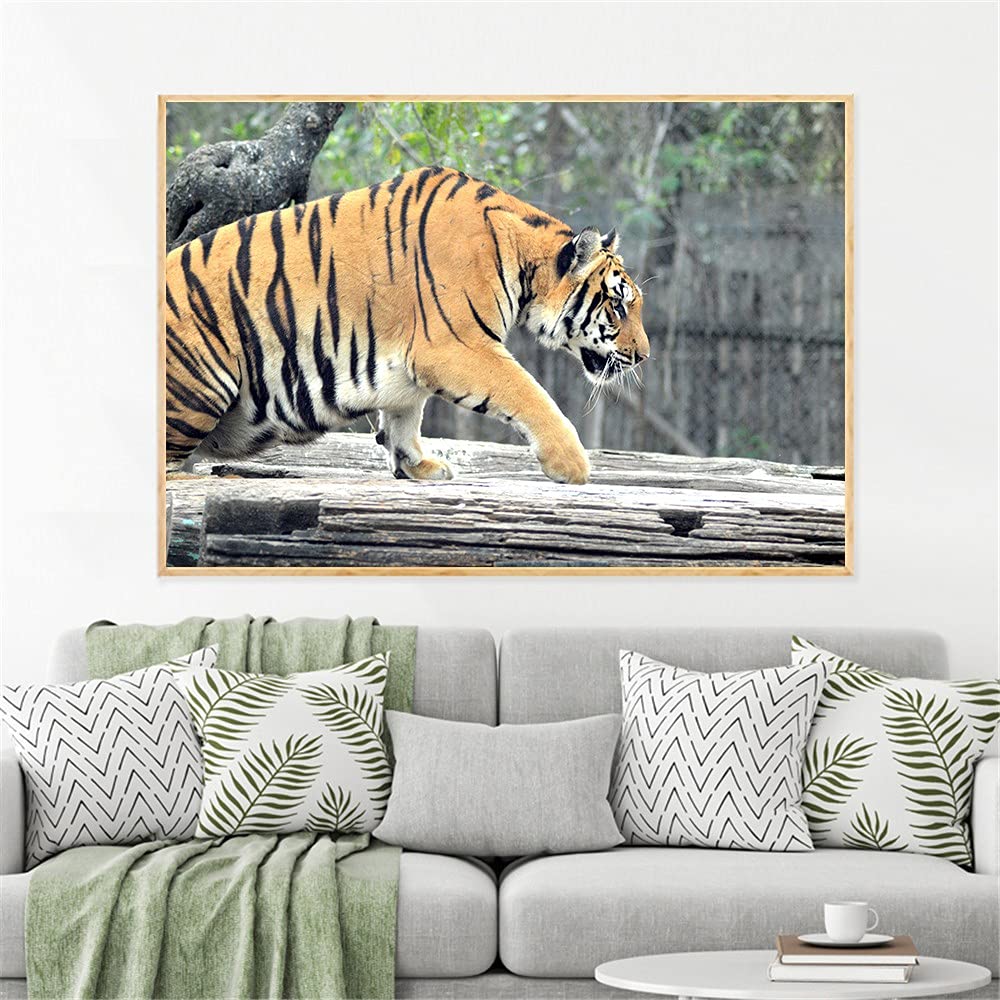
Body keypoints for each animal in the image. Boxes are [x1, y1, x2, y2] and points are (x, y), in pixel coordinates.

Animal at [164, 165, 649, 485]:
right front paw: (571, 464)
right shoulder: (456, 345)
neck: (521, 258)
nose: (644, 355)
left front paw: (416, 464)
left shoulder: (409, 359)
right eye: (618, 306)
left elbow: (404, 413)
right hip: (201, 382)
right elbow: (528, 392)